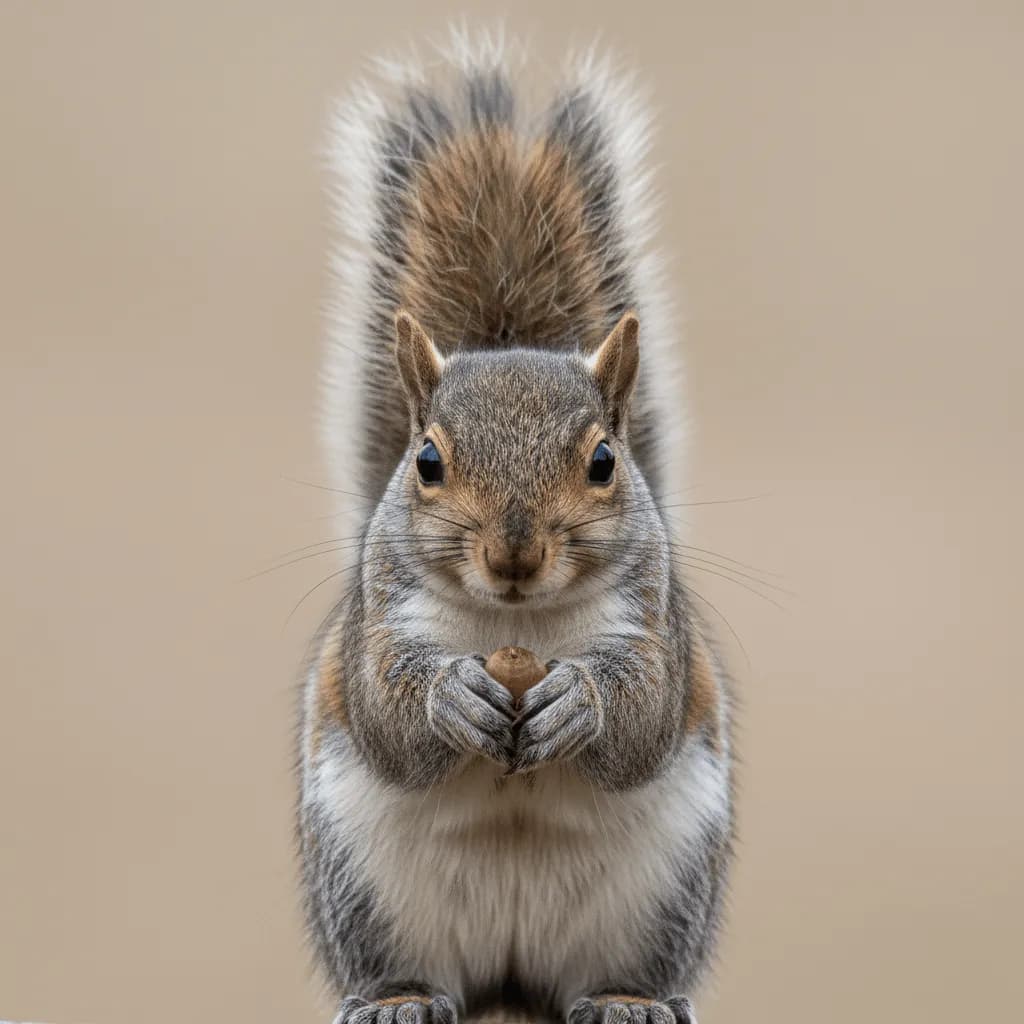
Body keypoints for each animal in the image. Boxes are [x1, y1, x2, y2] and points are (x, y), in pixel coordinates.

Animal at [300, 30, 733, 1024]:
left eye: (604, 462)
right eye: (426, 462)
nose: (514, 555)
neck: (518, 625)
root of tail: (510, 976)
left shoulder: (654, 625)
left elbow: (644, 712)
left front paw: (582, 702)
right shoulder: (379, 620)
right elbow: (387, 709)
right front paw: (449, 697)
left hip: (664, 895)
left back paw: (627, 998)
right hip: (361, 886)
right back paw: (397, 997)